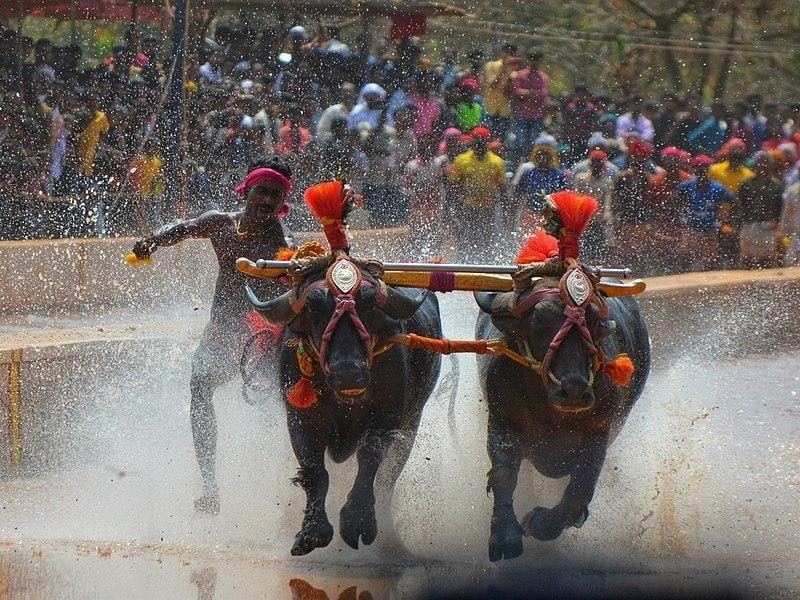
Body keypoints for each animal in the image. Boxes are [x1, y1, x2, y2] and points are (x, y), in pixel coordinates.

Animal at [247, 252, 440, 552]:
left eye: (369, 305)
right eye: (313, 308)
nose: (348, 372)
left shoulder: (388, 418)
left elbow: (370, 457)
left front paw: (357, 520)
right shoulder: (300, 419)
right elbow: (314, 471)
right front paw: (312, 531)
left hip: (411, 424)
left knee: (387, 480)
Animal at [476, 262, 648, 564]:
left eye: (593, 320)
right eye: (537, 322)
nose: (575, 390)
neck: (551, 414)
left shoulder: (599, 432)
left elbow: (581, 489)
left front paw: (541, 524)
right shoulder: (502, 421)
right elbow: (503, 475)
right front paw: (505, 535)